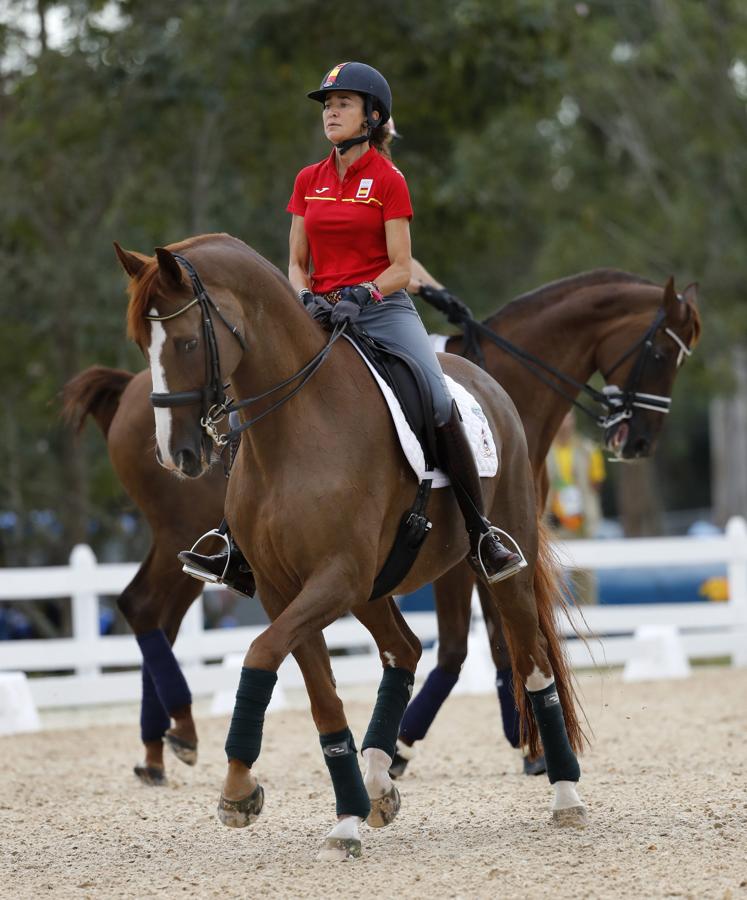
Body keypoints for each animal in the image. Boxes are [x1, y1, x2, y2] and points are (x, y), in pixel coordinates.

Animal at [64, 264, 700, 784]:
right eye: (662, 356)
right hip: (183, 529)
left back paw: (166, 741)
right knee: (147, 608)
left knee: (151, 611)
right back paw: (173, 738)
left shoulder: (462, 552)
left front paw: (501, 743)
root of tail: (129, 394)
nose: (638, 441)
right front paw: (471, 745)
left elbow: (476, 646)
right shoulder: (466, 556)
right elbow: (467, 650)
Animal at [114, 232, 588, 856]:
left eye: (189, 341)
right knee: (404, 650)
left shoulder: (336, 577)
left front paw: (239, 789)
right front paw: (341, 818)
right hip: (374, 588)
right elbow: (319, 697)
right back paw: (378, 783)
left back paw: (565, 795)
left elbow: (259, 653)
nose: (177, 455)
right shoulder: (284, 589)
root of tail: (485, 379)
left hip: (494, 567)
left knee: (532, 664)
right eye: (142, 344)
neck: (295, 430)